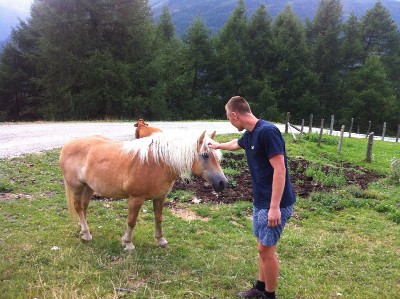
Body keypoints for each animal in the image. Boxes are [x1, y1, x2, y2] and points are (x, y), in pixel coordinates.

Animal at [59, 131, 228, 251]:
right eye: (205, 155)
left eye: (218, 156)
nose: (223, 183)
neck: (157, 163)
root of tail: (67, 145)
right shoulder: (135, 199)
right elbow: (131, 221)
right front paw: (127, 243)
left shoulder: (160, 198)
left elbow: (158, 219)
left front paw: (161, 240)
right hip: (77, 186)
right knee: (78, 206)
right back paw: (87, 234)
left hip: (89, 187)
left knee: (83, 207)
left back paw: (83, 230)